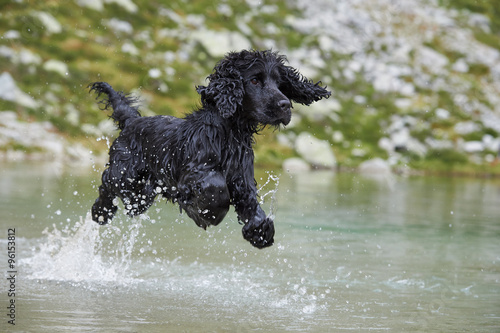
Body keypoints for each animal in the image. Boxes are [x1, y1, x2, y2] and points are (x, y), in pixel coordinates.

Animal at [89, 48, 332, 246]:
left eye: (280, 83)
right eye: (255, 80)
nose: (285, 105)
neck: (229, 134)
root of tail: (131, 121)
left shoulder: (242, 179)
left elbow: (251, 204)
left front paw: (260, 231)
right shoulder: (193, 173)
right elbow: (216, 188)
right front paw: (204, 213)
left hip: (141, 194)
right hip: (126, 176)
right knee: (107, 184)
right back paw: (101, 212)